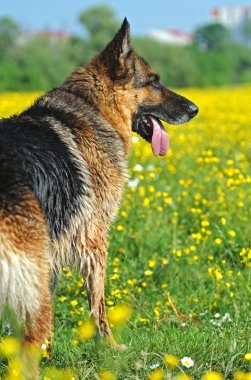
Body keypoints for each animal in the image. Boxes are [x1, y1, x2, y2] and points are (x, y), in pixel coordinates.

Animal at [0, 18, 198, 378]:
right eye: (154, 82)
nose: (195, 109)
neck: (96, 109)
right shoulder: (94, 241)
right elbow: (99, 305)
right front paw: (109, 348)